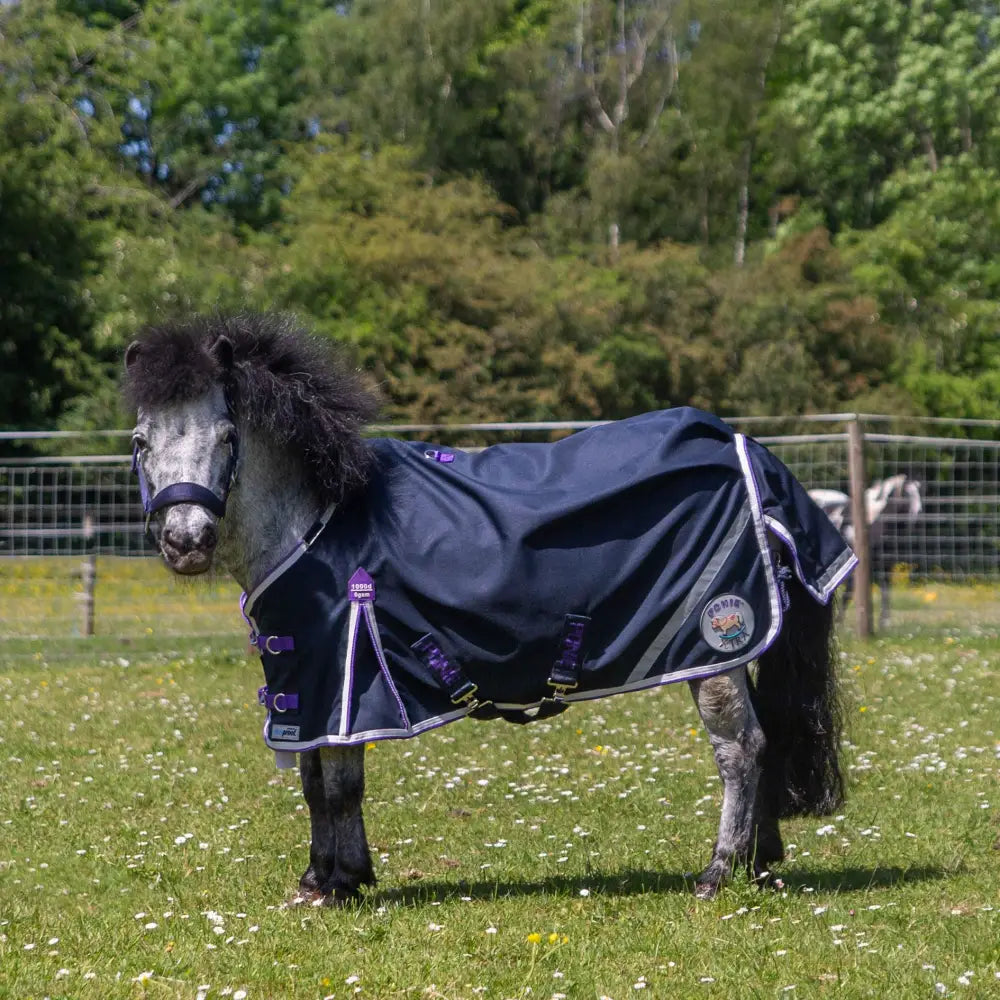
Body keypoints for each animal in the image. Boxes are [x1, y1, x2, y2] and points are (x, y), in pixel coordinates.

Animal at [123, 312, 856, 905]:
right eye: (141, 441)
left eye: (226, 436)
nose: (186, 542)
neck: (320, 520)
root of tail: (746, 451)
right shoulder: (310, 682)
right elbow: (317, 779)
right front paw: (331, 876)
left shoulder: (342, 675)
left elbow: (337, 785)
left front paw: (333, 886)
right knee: (761, 743)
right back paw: (761, 863)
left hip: (717, 646)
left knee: (740, 750)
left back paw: (717, 872)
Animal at [809, 475, 922, 629]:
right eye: (906, 494)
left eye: (919, 493)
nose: (918, 515)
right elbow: (849, 592)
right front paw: (839, 623)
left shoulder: (885, 564)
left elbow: (886, 591)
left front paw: (884, 622)